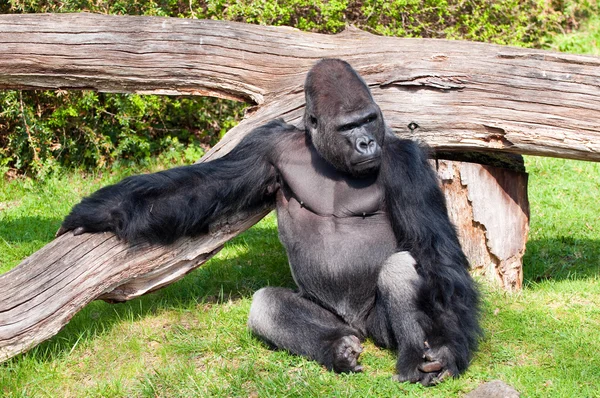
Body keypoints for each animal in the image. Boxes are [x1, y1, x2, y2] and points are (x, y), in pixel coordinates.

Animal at [58, 58, 480, 386]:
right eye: (348, 127)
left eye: (369, 120)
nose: (367, 143)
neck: (326, 155)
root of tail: (357, 326)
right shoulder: (267, 145)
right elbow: (202, 186)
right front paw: (102, 211)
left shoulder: (407, 161)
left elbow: (436, 255)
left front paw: (448, 349)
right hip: (333, 317)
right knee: (267, 304)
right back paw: (336, 348)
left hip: (379, 328)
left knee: (403, 266)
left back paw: (414, 358)